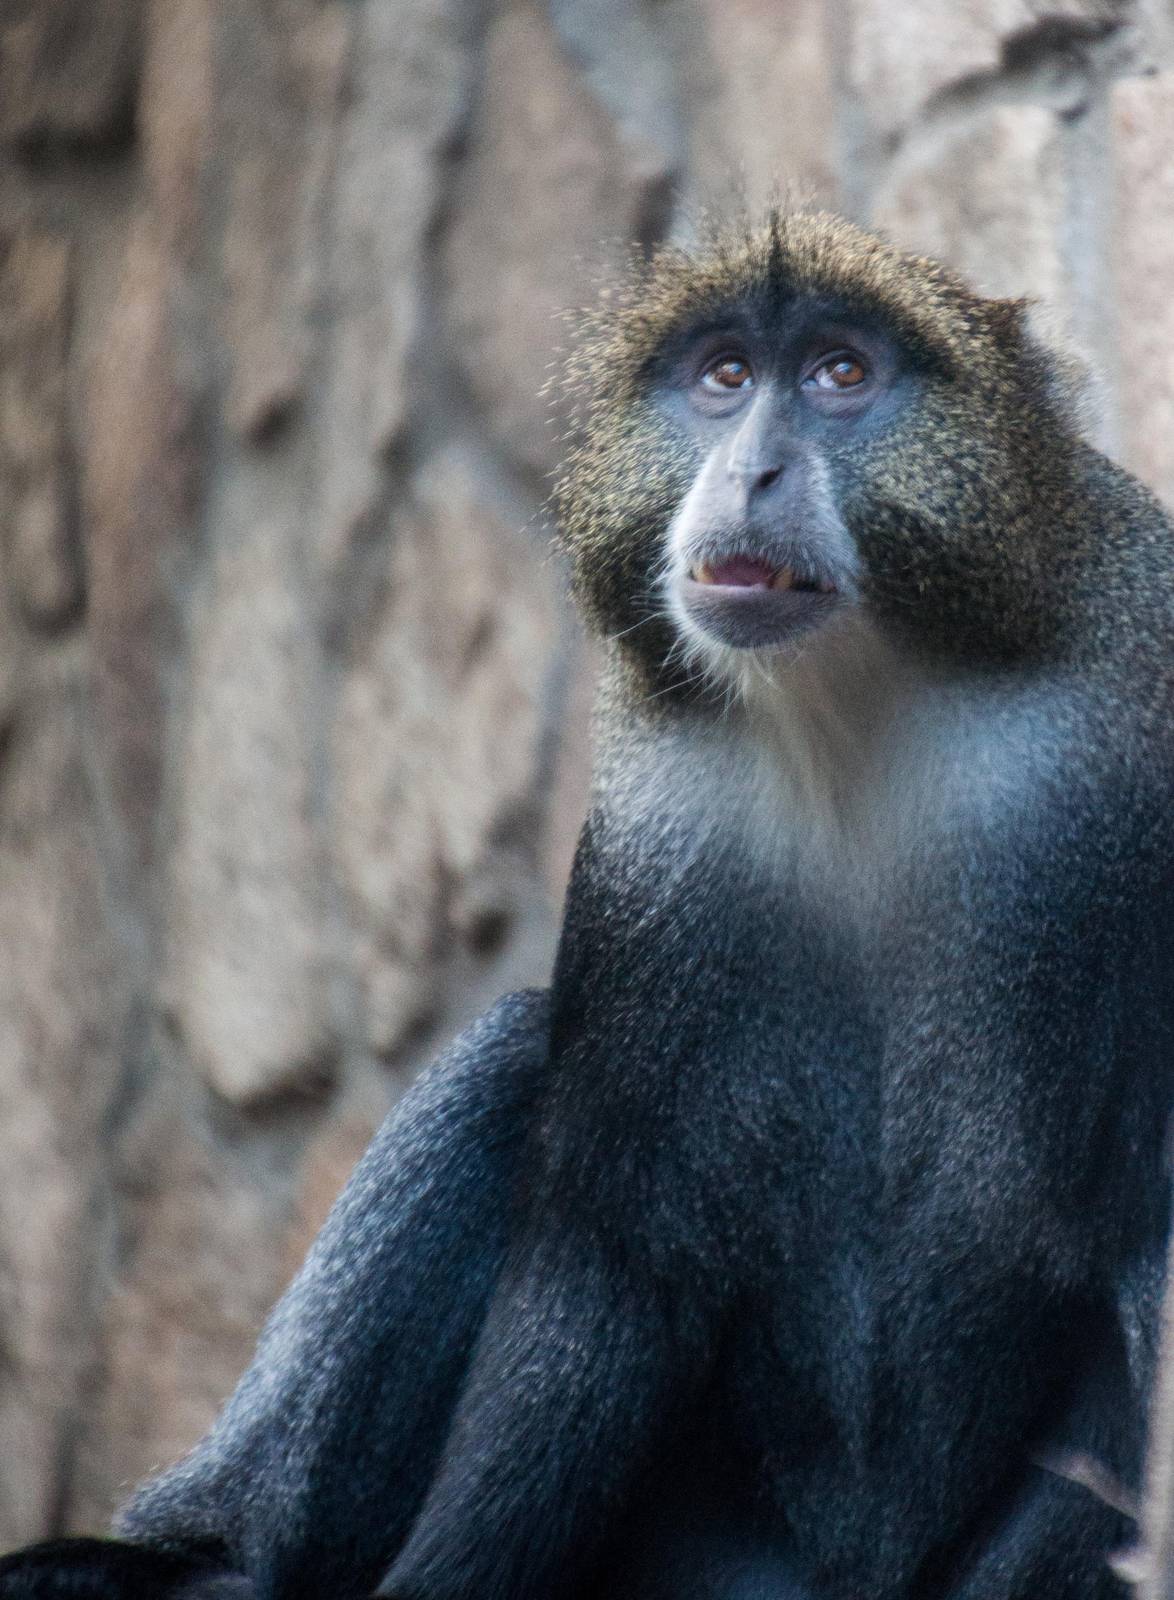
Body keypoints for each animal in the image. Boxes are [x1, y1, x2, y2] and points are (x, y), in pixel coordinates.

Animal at [1, 208, 1172, 1600]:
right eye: (724, 377)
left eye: (842, 375)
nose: (752, 472)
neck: (867, 707)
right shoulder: (664, 830)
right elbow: (613, 1252)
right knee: (516, 1054)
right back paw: (204, 1553)